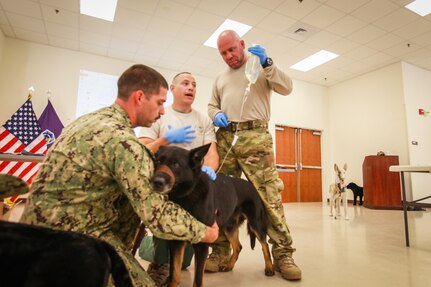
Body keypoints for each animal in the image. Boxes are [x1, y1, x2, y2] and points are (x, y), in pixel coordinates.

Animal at [152, 145, 274, 287]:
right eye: (158, 161)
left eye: (175, 164)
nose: (156, 182)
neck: (188, 193)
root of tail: (252, 186)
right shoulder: (176, 243)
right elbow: (174, 275)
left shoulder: (202, 245)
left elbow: (198, 280)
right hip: (229, 227)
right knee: (238, 246)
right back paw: (229, 266)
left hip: (256, 224)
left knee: (265, 245)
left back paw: (269, 268)